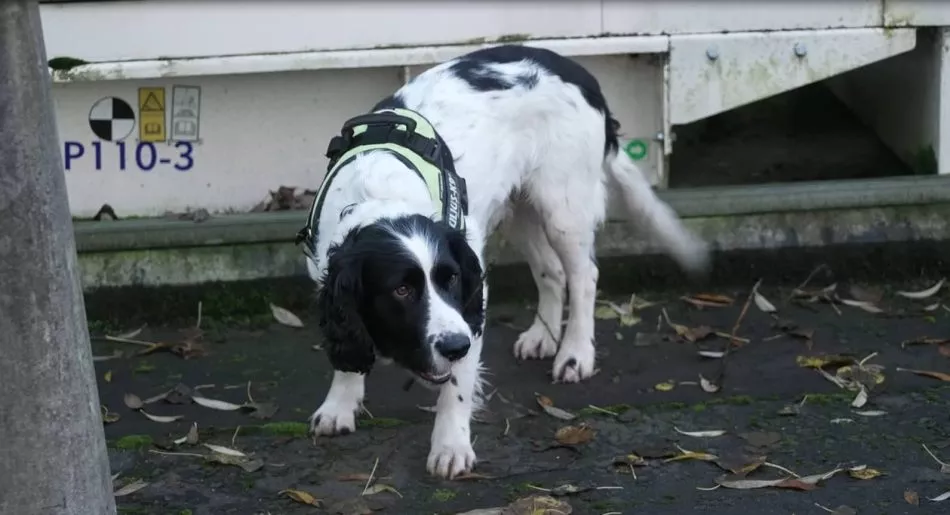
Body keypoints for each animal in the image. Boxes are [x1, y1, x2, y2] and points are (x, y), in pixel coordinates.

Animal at [302, 44, 712, 480]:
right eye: (401, 290)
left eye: (449, 280)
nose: (455, 346)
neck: (381, 195)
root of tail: (579, 71)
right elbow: (347, 349)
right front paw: (339, 406)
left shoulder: (471, 297)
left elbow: (457, 386)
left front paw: (451, 446)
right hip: (520, 209)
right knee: (551, 271)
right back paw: (542, 337)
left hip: (562, 205)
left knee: (584, 275)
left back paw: (575, 353)